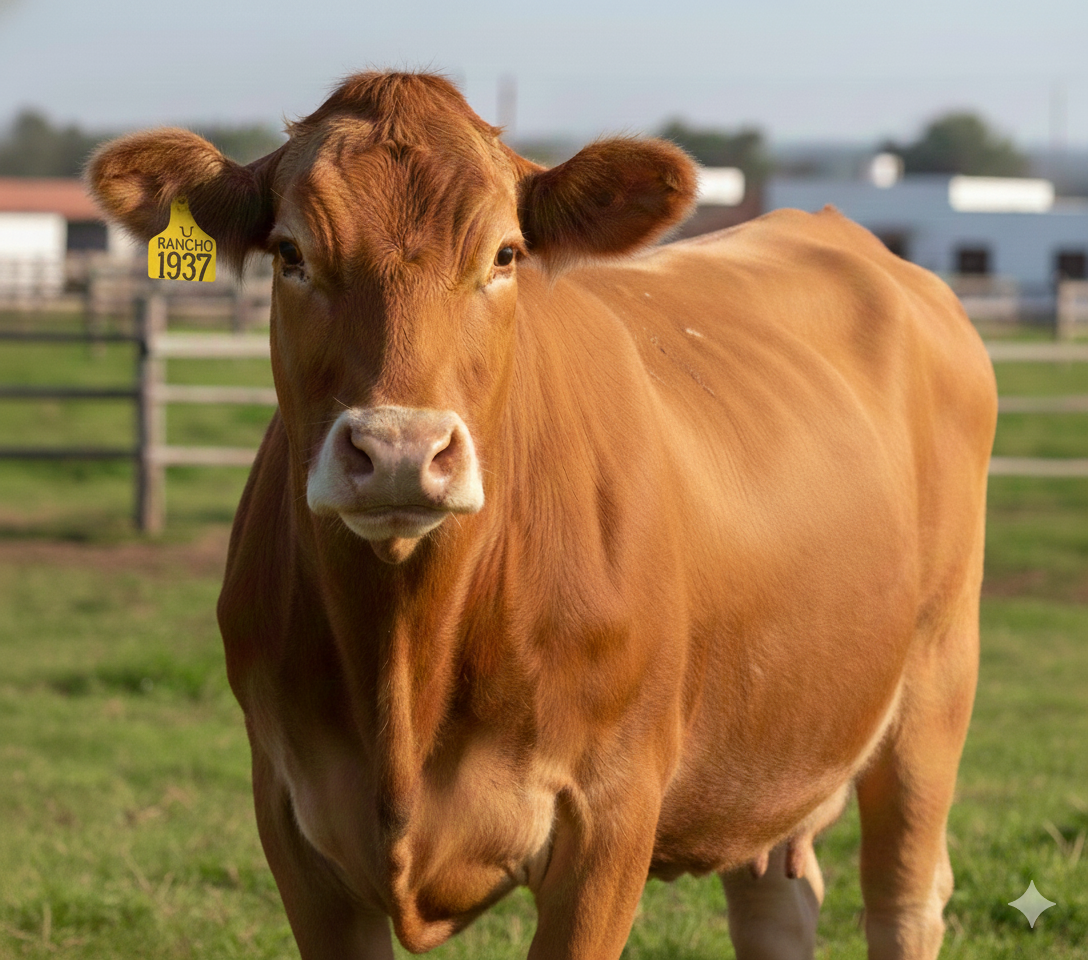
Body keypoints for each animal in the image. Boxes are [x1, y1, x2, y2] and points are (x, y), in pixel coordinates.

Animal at [87, 72, 997, 960]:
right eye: (290, 253)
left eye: (504, 254)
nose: (400, 450)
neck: (406, 667)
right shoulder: (293, 820)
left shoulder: (612, 818)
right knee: (777, 904)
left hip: (934, 683)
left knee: (906, 900)